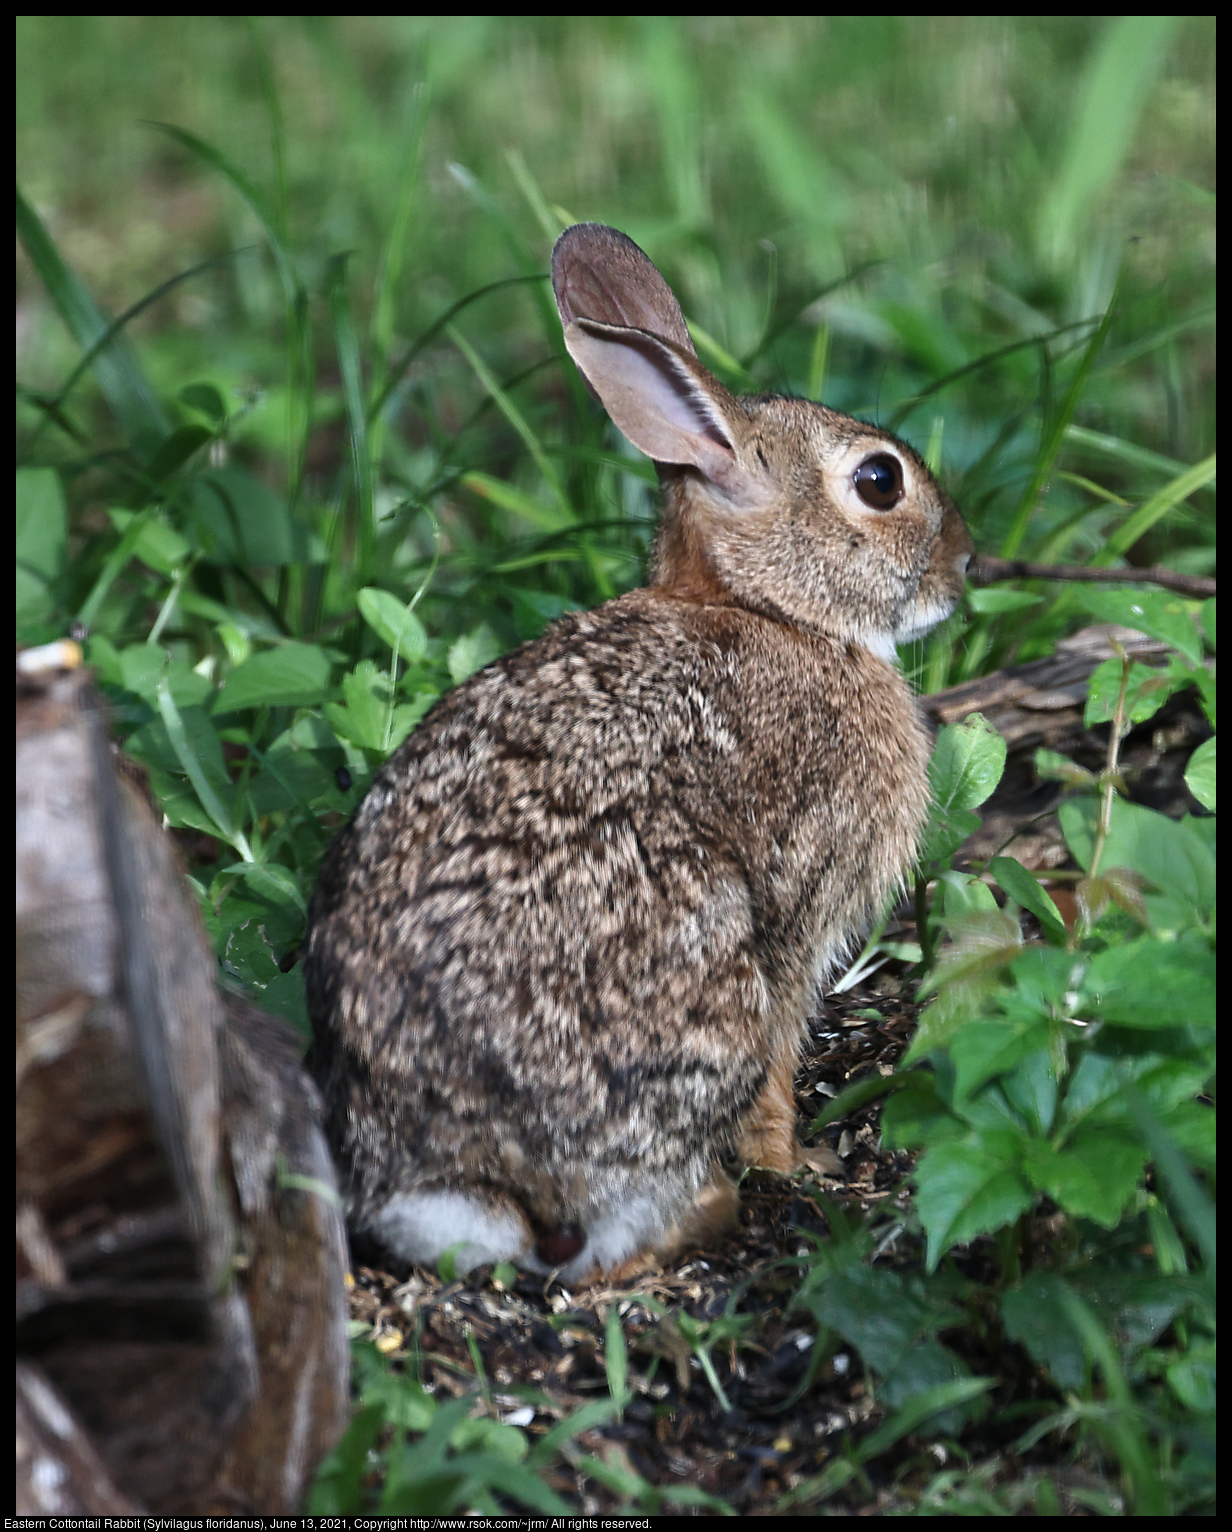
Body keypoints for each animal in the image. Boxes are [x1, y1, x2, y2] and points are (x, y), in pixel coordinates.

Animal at [300, 222, 974, 1286]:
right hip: (697, 998)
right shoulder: (797, 916)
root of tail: (483, 1175)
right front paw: (797, 1163)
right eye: (880, 482)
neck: (767, 610)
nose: (965, 563)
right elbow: (780, 1065)